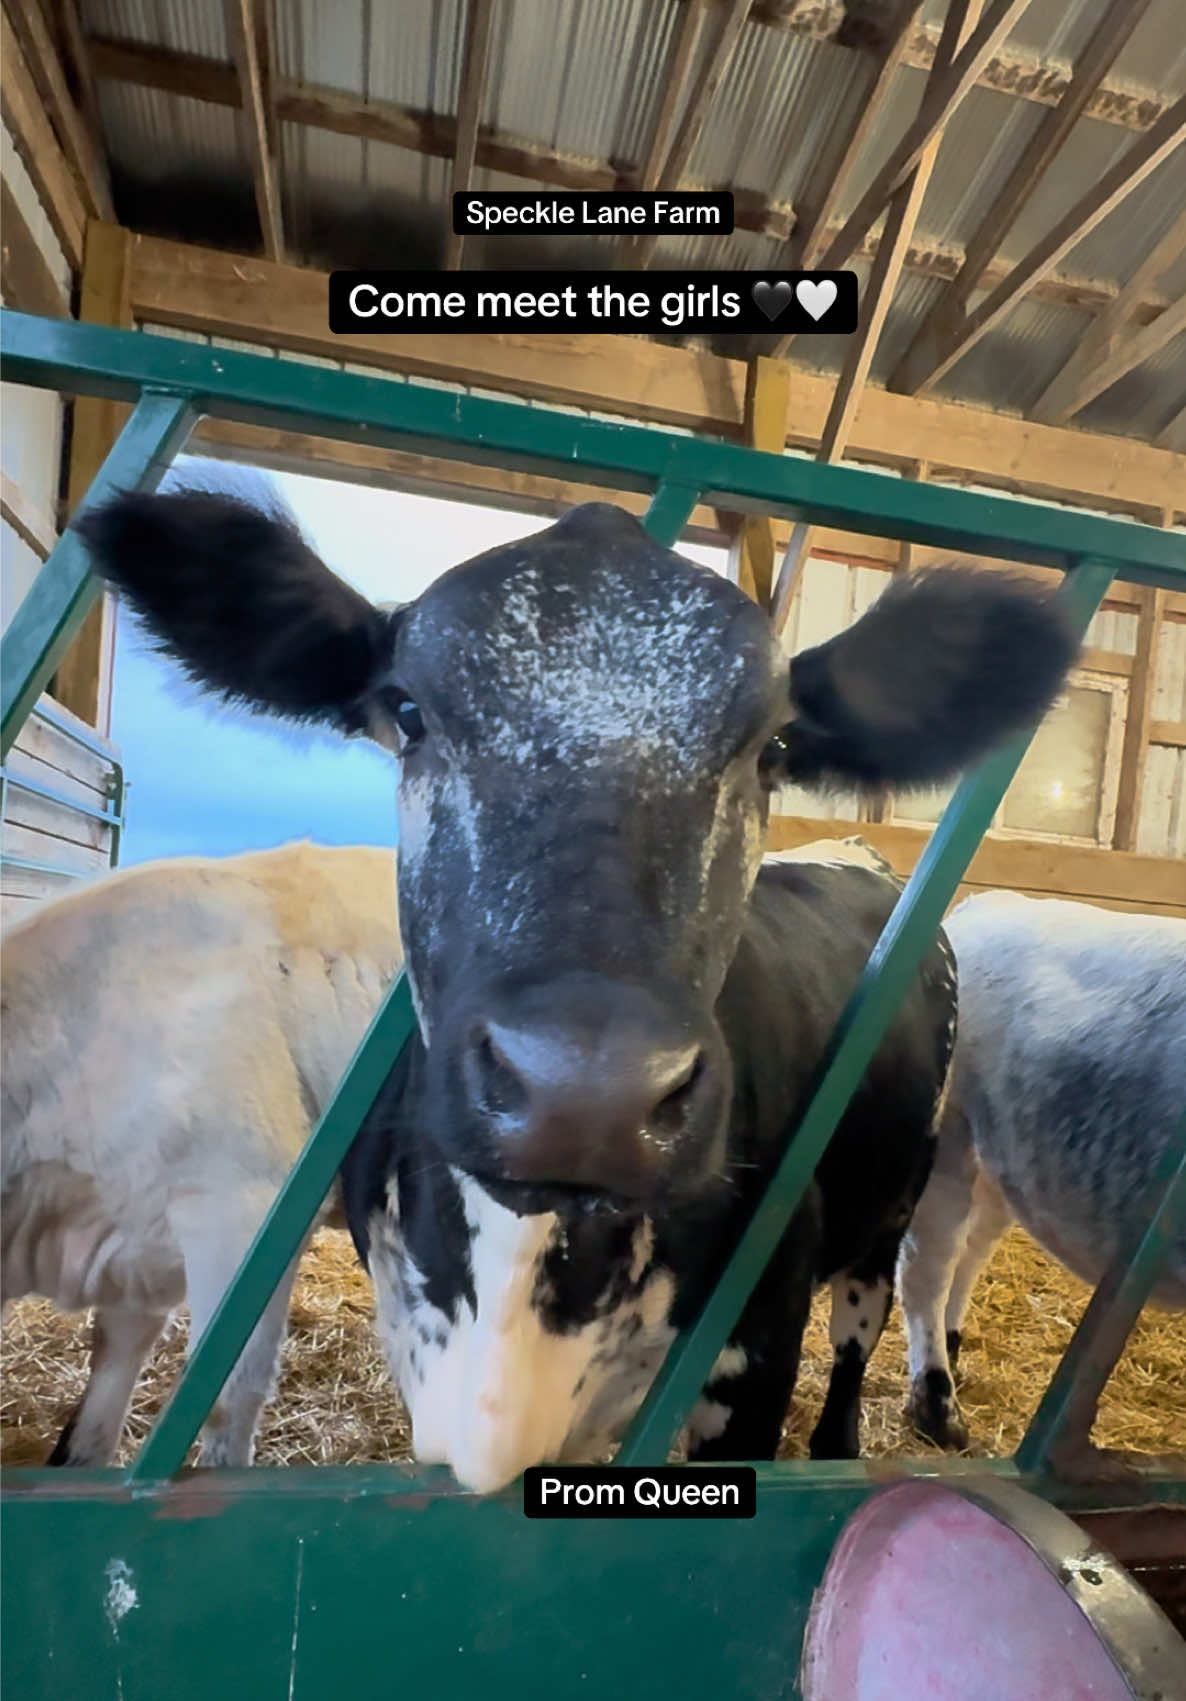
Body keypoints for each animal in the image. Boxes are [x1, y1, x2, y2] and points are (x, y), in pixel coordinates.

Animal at [76, 491, 1076, 1490]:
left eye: (775, 748)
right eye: (407, 711)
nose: (587, 1095)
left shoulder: (754, 1360)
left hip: (893, 1202)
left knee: (860, 1338)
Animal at [897, 891, 1186, 1475]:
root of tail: (989, 902)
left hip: (1003, 1160)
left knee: (971, 1249)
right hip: (949, 1133)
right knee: (928, 1266)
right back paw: (938, 1409)